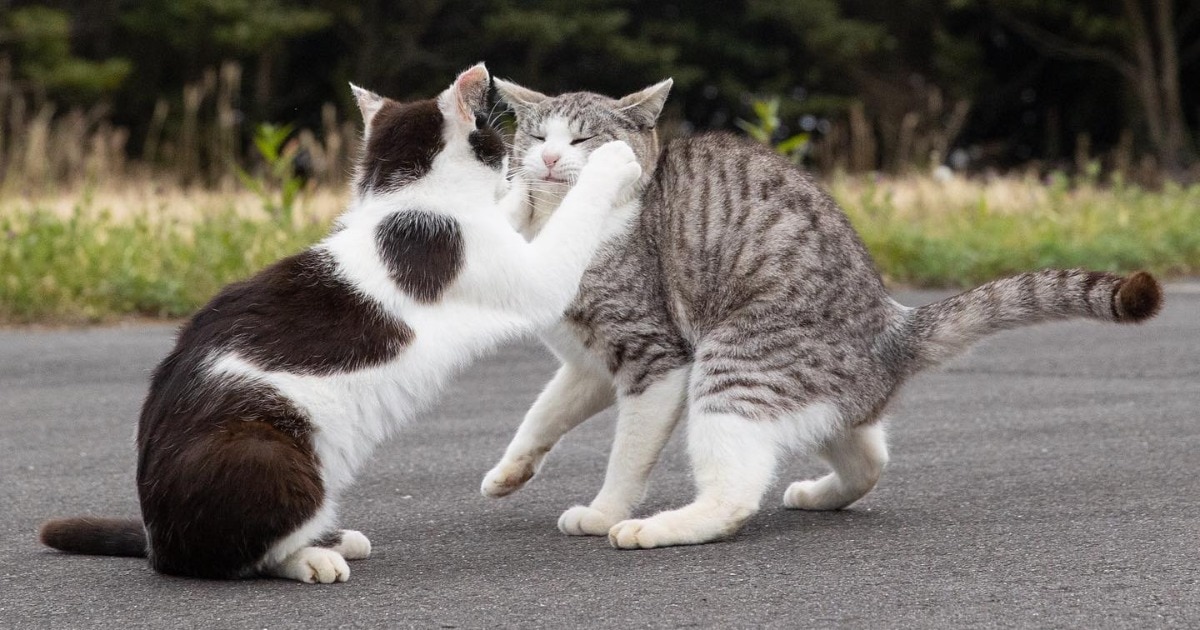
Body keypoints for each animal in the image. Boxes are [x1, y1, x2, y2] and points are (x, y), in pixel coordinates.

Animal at [37, 63, 643, 580]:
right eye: (497, 138)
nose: (524, 158)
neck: (405, 204)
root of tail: (155, 541)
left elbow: (513, 210)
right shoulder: (531, 275)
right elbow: (568, 221)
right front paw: (611, 162)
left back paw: (332, 538)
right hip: (271, 453)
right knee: (242, 557)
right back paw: (312, 557)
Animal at [477, 78, 1161, 547]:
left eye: (583, 140)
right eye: (537, 136)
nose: (548, 160)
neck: (554, 228)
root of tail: (892, 325)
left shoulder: (656, 359)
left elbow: (627, 455)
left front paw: (604, 513)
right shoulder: (588, 365)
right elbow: (543, 414)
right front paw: (509, 473)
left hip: (732, 366)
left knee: (734, 496)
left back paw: (661, 527)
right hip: (808, 401)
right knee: (871, 456)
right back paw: (818, 493)